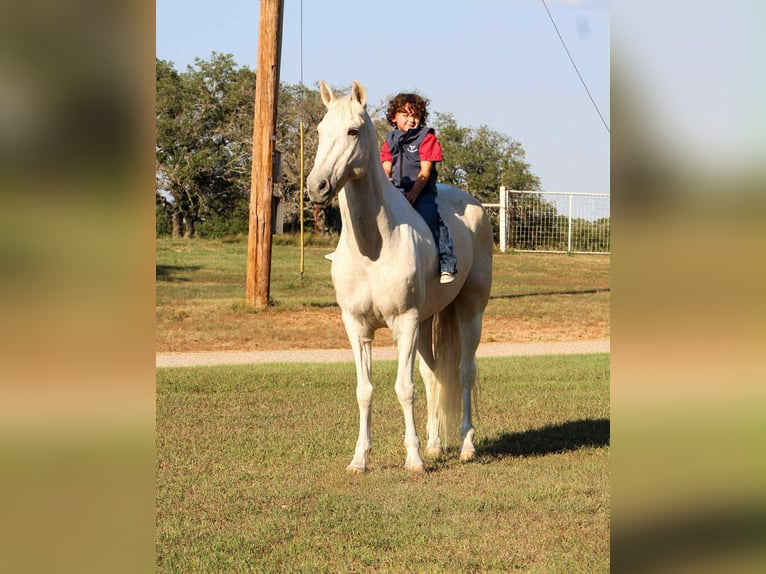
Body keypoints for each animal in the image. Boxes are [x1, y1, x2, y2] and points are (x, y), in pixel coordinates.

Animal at [306, 81, 493, 473]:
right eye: (320, 130)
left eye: (353, 131)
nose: (317, 186)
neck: (373, 247)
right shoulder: (357, 326)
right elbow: (365, 390)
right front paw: (360, 459)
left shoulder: (404, 322)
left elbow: (404, 389)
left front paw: (414, 459)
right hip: (426, 322)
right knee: (434, 373)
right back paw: (436, 445)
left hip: (469, 313)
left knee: (464, 372)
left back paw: (466, 445)